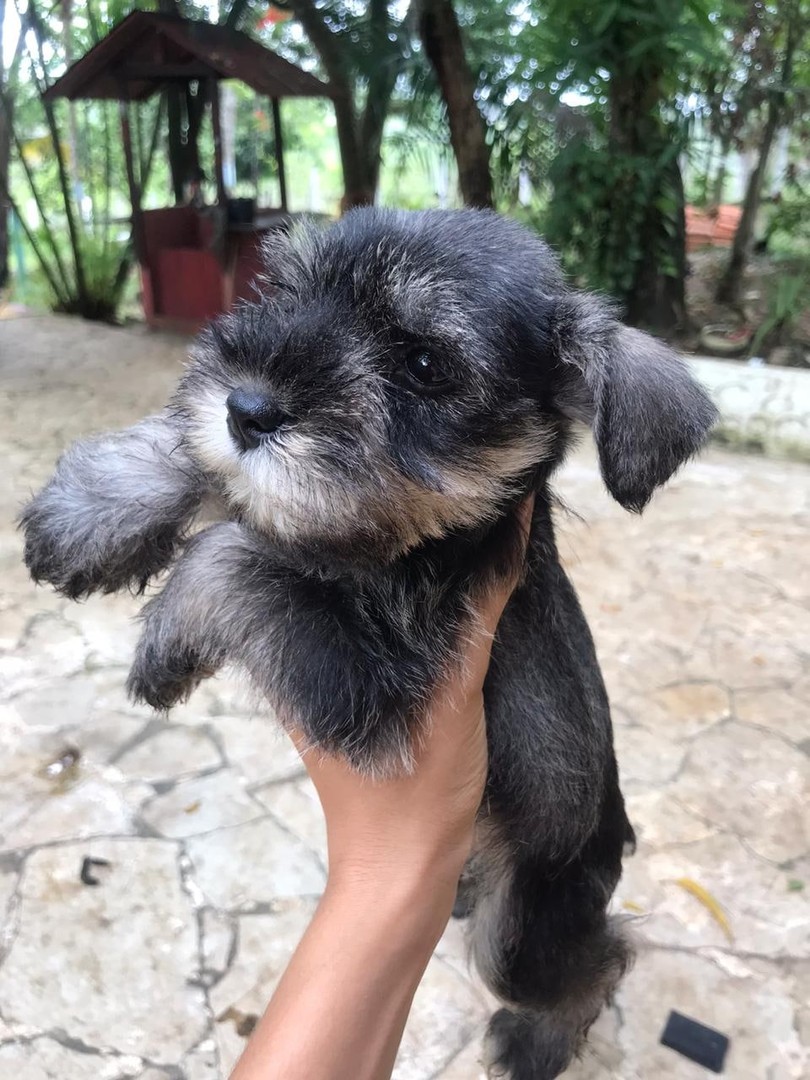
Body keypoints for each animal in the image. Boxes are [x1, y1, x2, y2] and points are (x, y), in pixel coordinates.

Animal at [20, 206, 717, 1075]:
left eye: (423, 363)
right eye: (288, 294)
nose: (246, 407)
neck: (426, 543)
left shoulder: (371, 689)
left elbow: (240, 556)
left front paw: (163, 647)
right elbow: (228, 490)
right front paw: (92, 509)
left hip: (525, 922)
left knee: (597, 960)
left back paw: (537, 1039)